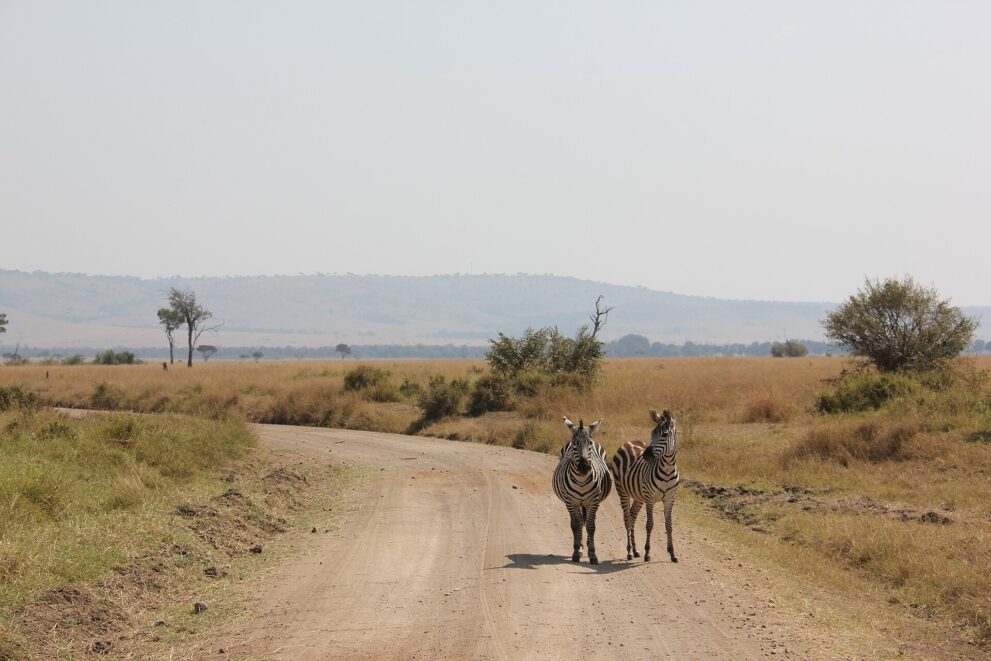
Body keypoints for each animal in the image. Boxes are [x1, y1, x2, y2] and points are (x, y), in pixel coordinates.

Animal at [552, 417, 613, 564]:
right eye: (575, 443)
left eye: (589, 443)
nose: (584, 467)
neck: (581, 481)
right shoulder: (570, 501)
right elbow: (575, 525)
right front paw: (576, 552)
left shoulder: (594, 501)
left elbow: (591, 527)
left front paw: (593, 554)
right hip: (576, 503)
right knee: (579, 522)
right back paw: (579, 547)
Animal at [610, 409, 680, 563]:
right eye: (652, 434)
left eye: (665, 434)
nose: (646, 456)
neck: (667, 470)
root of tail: (628, 442)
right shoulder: (650, 498)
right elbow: (649, 525)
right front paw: (647, 553)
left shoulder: (670, 499)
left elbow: (669, 526)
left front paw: (672, 553)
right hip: (623, 491)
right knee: (627, 519)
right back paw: (629, 551)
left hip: (638, 496)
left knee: (632, 516)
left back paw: (635, 550)